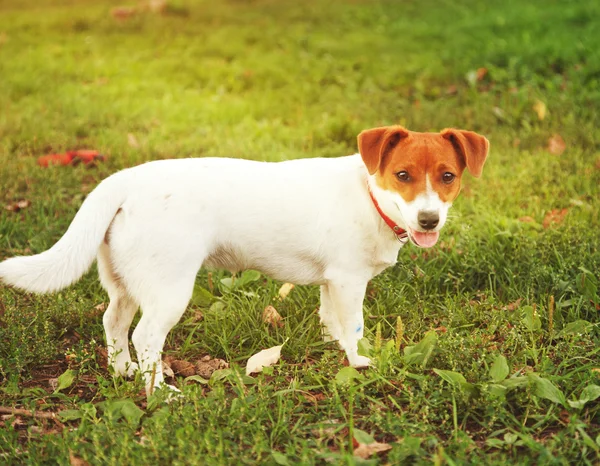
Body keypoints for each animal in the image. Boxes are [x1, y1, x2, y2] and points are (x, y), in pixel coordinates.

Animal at [0, 125, 488, 396]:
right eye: (403, 175)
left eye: (448, 176)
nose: (429, 219)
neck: (369, 193)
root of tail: (124, 180)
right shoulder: (350, 281)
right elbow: (354, 329)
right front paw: (359, 363)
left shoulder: (332, 283)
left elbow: (330, 320)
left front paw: (332, 348)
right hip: (169, 290)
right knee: (145, 337)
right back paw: (160, 393)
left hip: (125, 283)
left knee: (113, 323)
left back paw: (123, 372)